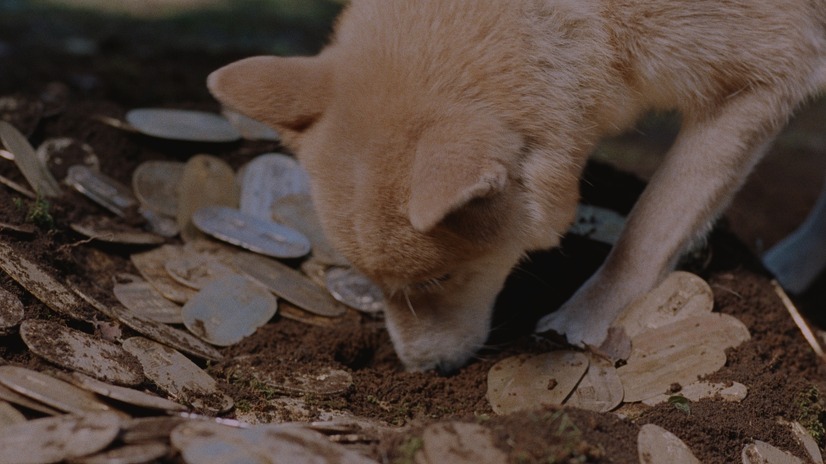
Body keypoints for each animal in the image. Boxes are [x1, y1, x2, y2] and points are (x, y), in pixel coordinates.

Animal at [206, 0, 824, 372]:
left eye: (438, 278)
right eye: (372, 284)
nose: (422, 370)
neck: (595, 22)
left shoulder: (765, 77)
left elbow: (647, 229)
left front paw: (585, 317)